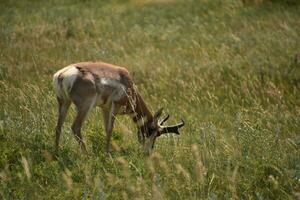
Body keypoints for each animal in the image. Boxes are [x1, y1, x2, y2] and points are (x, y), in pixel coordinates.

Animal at [52, 61, 184, 154]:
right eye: (153, 132)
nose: (148, 152)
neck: (127, 81)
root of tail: (63, 74)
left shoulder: (104, 108)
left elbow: (106, 129)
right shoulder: (115, 106)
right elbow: (110, 129)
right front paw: (107, 153)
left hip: (64, 103)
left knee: (58, 127)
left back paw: (56, 153)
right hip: (85, 107)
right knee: (75, 127)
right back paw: (87, 155)